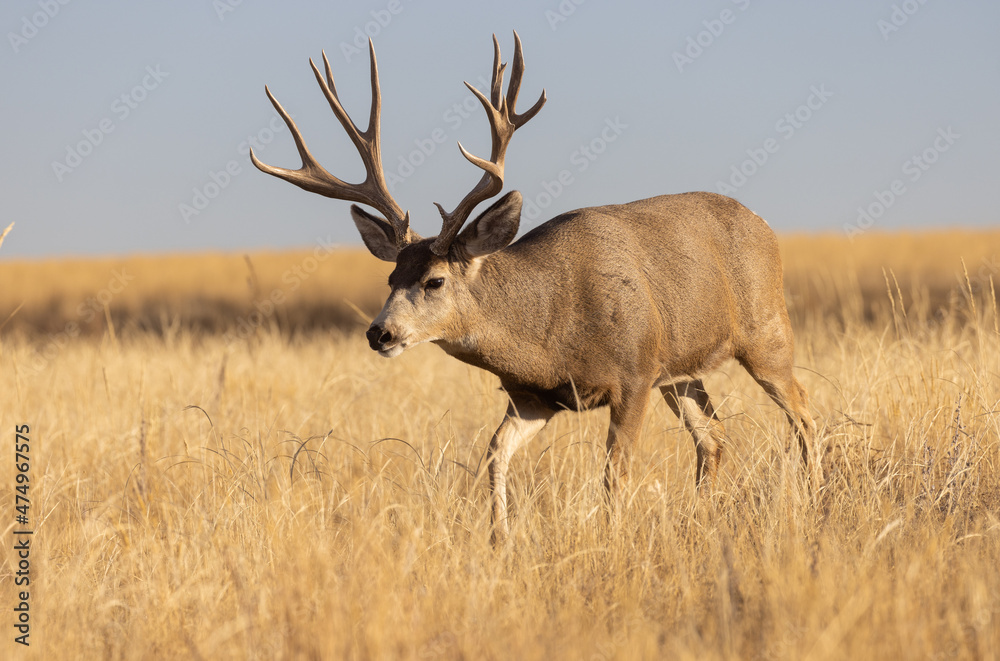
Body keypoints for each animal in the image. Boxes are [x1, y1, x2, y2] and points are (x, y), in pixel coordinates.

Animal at [250, 32, 819, 542]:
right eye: (390, 277)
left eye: (434, 280)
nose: (380, 333)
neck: (550, 329)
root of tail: (765, 225)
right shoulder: (534, 398)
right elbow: (494, 453)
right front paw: (499, 539)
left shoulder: (634, 374)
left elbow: (614, 474)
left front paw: (612, 540)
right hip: (681, 370)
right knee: (715, 438)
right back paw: (702, 518)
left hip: (766, 334)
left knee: (804, 413)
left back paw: (816, 498)